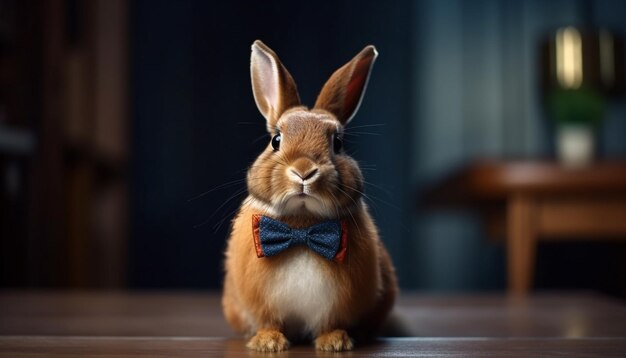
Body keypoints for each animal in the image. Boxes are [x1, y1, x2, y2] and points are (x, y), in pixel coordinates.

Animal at [221, 39, 394, 352]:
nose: (303, 171)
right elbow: (268, 321)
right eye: (276, 140)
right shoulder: (261, 304)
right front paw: (268, 343)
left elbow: (331, 322)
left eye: (338, 143)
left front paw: (335, 342)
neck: (302, 226)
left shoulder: (338, 304)